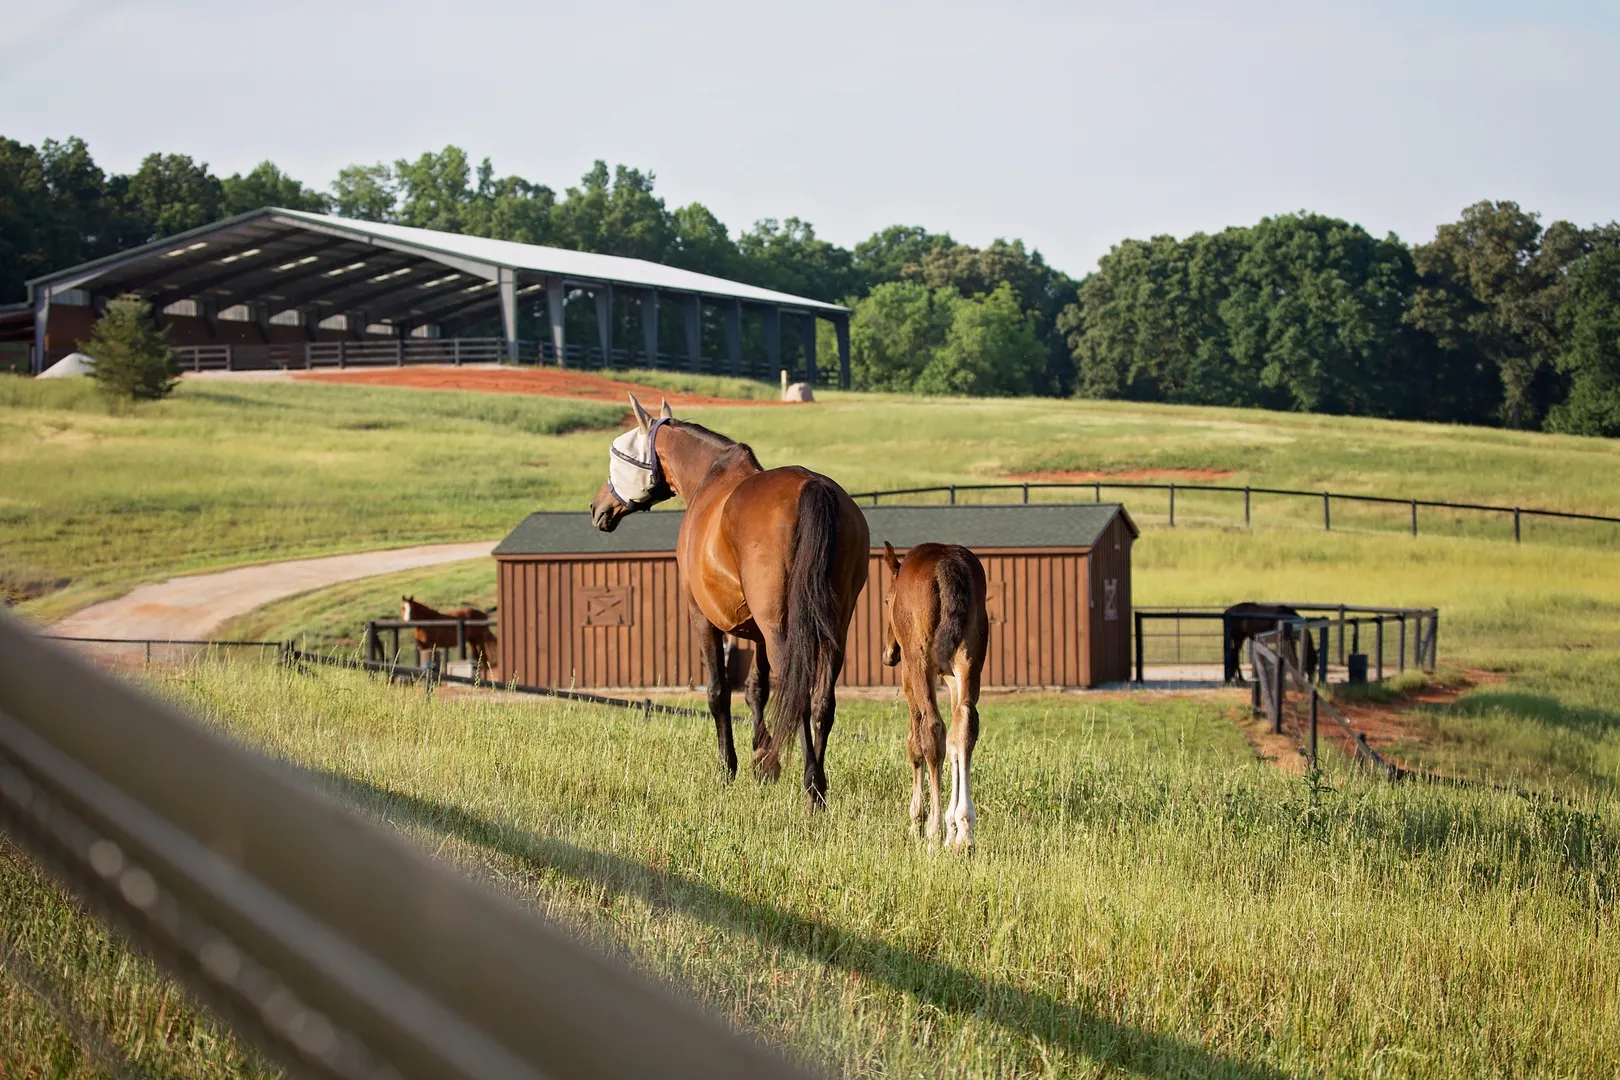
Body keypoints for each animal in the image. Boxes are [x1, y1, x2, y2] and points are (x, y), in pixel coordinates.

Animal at [588, 394, 869, 809]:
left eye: (618, 455)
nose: (598, 507)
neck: (710, 477)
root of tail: (813, 487)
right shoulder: (758, 635)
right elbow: (756, 690)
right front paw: (763, 761)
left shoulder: (703, 619)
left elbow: (719, 693)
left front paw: (729, 767)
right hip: (832, 628)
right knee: (822, 702)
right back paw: (818, 781)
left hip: (780, 629)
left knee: (799, 696)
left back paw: (811, 787)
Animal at [880, 541, 988, 849]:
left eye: (887, 601)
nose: (889, 654)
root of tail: (947, 567)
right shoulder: (952, 679)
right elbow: (955, 742)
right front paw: (955, 827)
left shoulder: (910, 677)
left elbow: (915, 745)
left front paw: (918, 821)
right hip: (969, 661)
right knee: (965, 727)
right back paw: (965, 833)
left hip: (920, 665)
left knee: (932, 729)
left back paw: (934, 832)